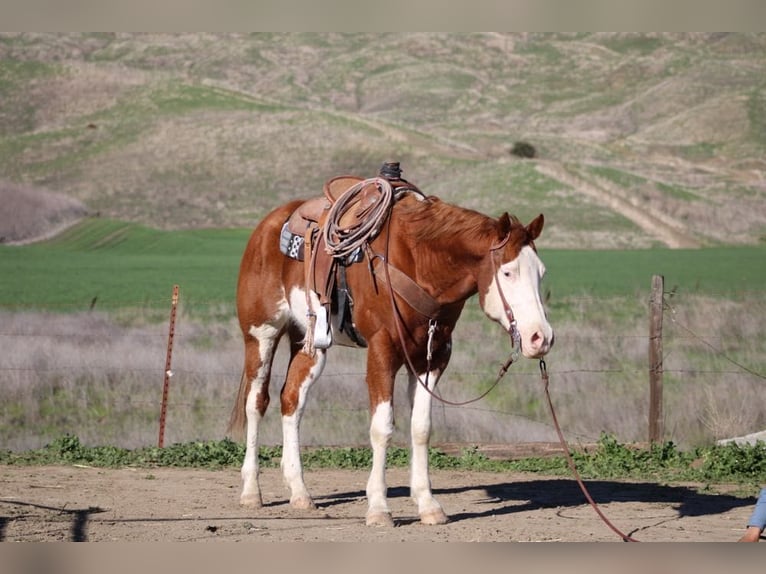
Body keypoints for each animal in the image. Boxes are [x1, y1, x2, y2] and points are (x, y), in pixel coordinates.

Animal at [228, 167, 554, 526]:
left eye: (541, 272)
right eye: (508, 272)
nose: (541, 337)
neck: (419, 261)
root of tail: (267, 227)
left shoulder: (432, 358)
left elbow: (421, 428)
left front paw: (428, 504)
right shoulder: (382, 352)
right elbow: (382, 427)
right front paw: (379, 508)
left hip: (309, 344)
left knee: (292, 401)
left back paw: (300, 493)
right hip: (261, 335)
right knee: (256, 403)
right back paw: (250, 491)